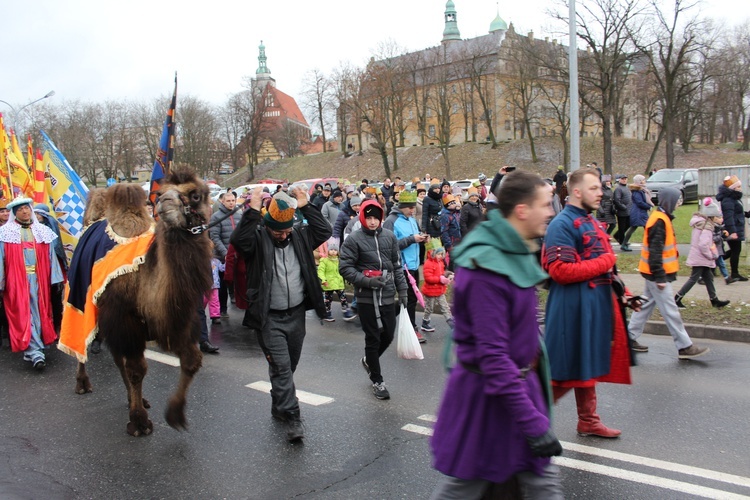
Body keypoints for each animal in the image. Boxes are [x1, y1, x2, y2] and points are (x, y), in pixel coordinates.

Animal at [66, 168, 213, 434]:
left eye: (195, 195)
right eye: (160, 193)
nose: (165, 203)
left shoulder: (176, 323)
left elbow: (191, 361)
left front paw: (175, 414)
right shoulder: (125, 320)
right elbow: (137, 369)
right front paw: (139, 422)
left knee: (117, 357)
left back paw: (133, 398)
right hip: (79, 296)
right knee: (82, 342)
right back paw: (82, 383)